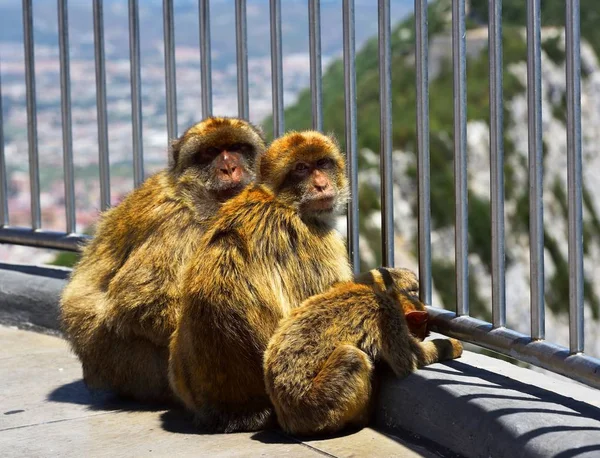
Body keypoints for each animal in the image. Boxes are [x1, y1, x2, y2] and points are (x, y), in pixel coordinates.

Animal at [262, 268, 464, 436]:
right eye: (421, 333)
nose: (422, 336)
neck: (389, 297)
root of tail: (287, 420)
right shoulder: (389, 318)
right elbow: (408, 361)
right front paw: (450, 345)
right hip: (315, 406)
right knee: (353, 357)